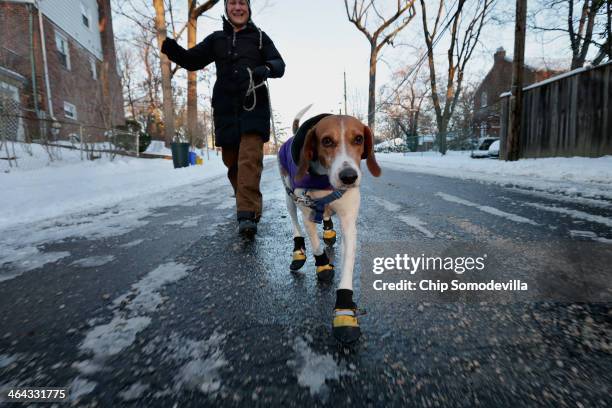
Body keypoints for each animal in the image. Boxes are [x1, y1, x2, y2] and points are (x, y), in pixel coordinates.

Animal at [278, 106, 382, 344]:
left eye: (359, 138)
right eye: (326, 141)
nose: (349, 177)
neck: (324, 181)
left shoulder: (349, 223)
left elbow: (347, 268)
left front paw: (344, 311)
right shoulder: (306, 212)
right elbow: (316, 245)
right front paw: (323, 264)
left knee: (325, 217)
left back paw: (328, 230)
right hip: (289, 197)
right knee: (295, 225)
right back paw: (298, 251)